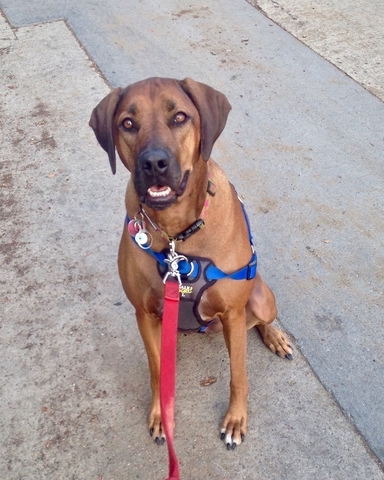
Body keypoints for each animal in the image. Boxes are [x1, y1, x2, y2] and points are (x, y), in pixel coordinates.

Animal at [89, 78, 292, 450]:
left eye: (180, 117)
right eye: (128, 123)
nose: (154, 162)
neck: (176, 235)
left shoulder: (233, 312)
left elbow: (238, 375)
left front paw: (235, 420)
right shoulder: (144, 314)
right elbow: (157, 370)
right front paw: (161, 415)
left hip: (259, 299)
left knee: (260, 320)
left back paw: (275, 336)